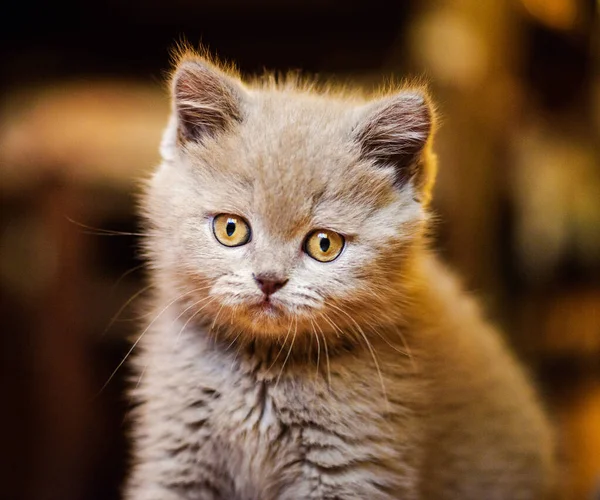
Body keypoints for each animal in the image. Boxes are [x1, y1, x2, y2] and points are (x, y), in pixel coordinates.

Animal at [124, 47, 556, 500]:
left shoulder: (350, 467)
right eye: (231, 229)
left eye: (324, 244)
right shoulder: (176, 456)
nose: (269, 279)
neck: (264, 369)